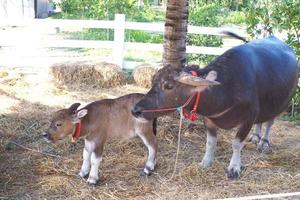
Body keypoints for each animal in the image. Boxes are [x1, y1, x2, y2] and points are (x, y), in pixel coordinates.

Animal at [132, 32, 298, 178]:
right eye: (153, 81)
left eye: (168, 86)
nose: (135, 110)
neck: (227, 89)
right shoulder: (209, 119)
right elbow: (210, 143)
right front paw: (205, 162)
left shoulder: (248, 119)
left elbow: (237, 143)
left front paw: (234, 168)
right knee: (261, 121)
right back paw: (256, 137)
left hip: (281, 104)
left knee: (269, 122)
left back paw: (263, 142)